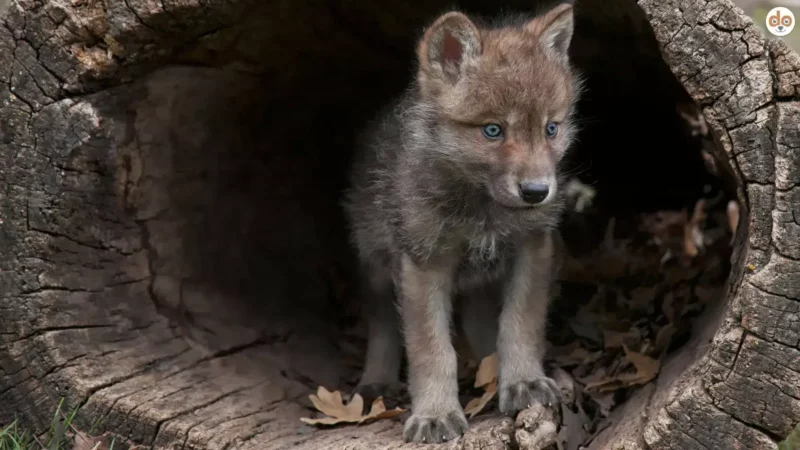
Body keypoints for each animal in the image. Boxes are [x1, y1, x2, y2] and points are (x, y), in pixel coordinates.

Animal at [343, 3, 582, 443]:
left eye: (551, 129)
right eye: (493, 130)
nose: (537, 192)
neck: (482, 210)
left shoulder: (533, 247)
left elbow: (518, 324)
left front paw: (523, 382)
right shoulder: (423, 264)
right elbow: (431, 349)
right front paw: (435, 414)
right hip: (374, 265)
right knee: (382, 324)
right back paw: (376, 383)